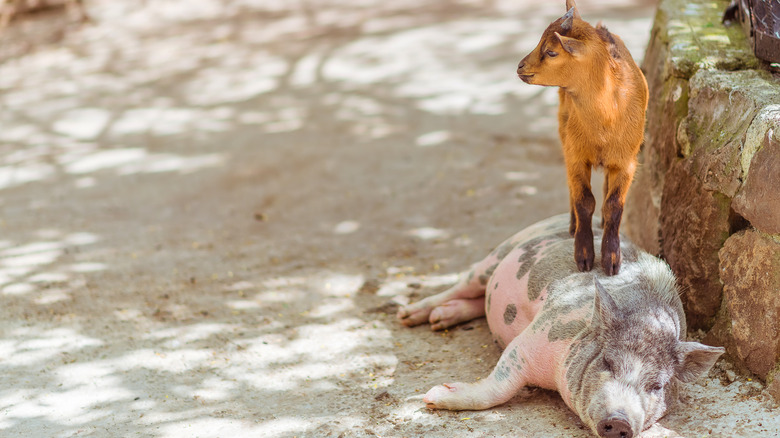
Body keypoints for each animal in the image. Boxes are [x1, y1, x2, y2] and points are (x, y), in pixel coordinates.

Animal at [400, 214, 728, 436]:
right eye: (607, 363)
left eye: (657, 386)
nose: (619, 420)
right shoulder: (536, 336)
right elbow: (501, 385)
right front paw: (431, 397)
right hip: (497, 255)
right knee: (464, 283)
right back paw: (412, 316)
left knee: (476, 300)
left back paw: (438, 318)